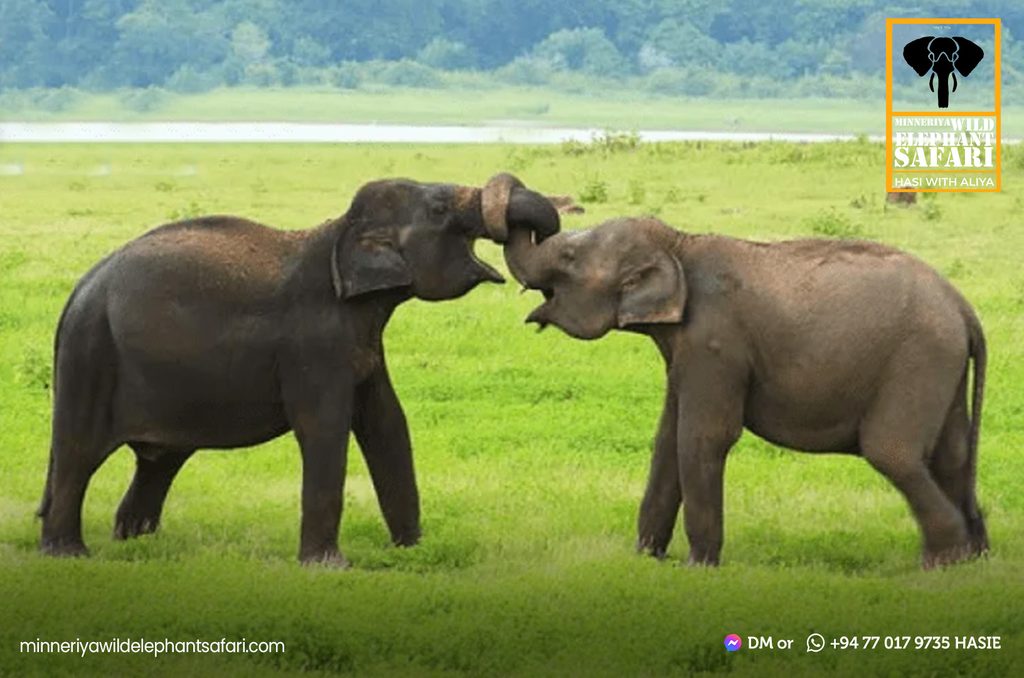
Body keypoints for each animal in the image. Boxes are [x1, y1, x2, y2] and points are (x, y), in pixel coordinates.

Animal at [38, 173, 560, 565]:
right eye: (437, 208)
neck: (340, 231)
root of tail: (79, 290)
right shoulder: (316, 340)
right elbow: (325, 428)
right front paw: (330, 566)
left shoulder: (362, 342)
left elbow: (388, 423)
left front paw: (411, 552)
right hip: (92, 358)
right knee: (80, 451)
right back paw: (69, 554)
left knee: (159, 460)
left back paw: (136, 542)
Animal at [503, 215, 988, 568]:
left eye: (568, 255)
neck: (678, 244)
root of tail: (964, 308)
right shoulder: (686, 352)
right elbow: (667, 440)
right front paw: (646, 559)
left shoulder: (714, 343)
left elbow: (703, 437)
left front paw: (697, 566)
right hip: (943, 368)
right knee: (952, 455)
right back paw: (975, 557)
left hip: (918, 359)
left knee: (893, 452)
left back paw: (942, 563)